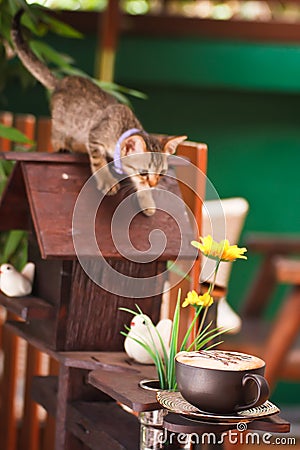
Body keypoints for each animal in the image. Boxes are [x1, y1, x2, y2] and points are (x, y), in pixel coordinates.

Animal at [11, 10, 186, 214]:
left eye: (162, 174)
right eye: (143, 173)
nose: (153, 184)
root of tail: (62, 82)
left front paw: (147, 199)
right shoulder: (95, 135)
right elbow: (98, 161)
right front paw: (108, 181)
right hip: (63, 123)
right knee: (58, 135)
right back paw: (63, 145)